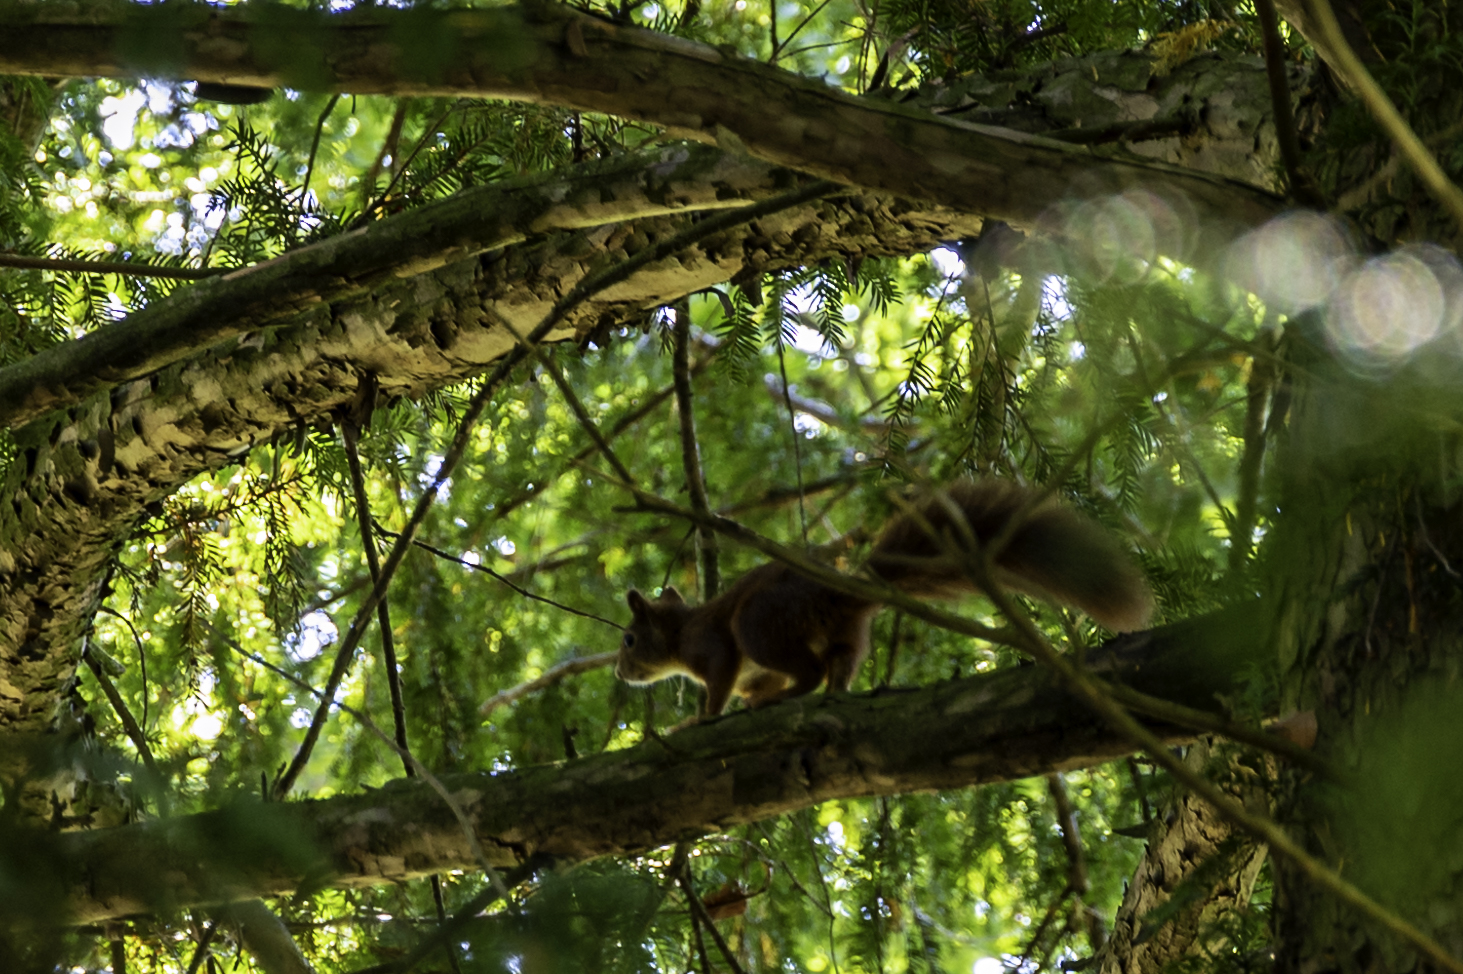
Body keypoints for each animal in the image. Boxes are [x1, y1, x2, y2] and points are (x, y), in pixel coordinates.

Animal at [611, 476, 1146, 713]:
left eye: (629, 640)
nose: (619, 673)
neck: (679, 632)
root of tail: (840, 592)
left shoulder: (714, 646)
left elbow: (720, 680)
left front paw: (697, 721)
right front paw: (753, 693)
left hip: (760, 623)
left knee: (808, 670)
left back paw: (781, 696)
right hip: (842, 633)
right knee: (836, 668)